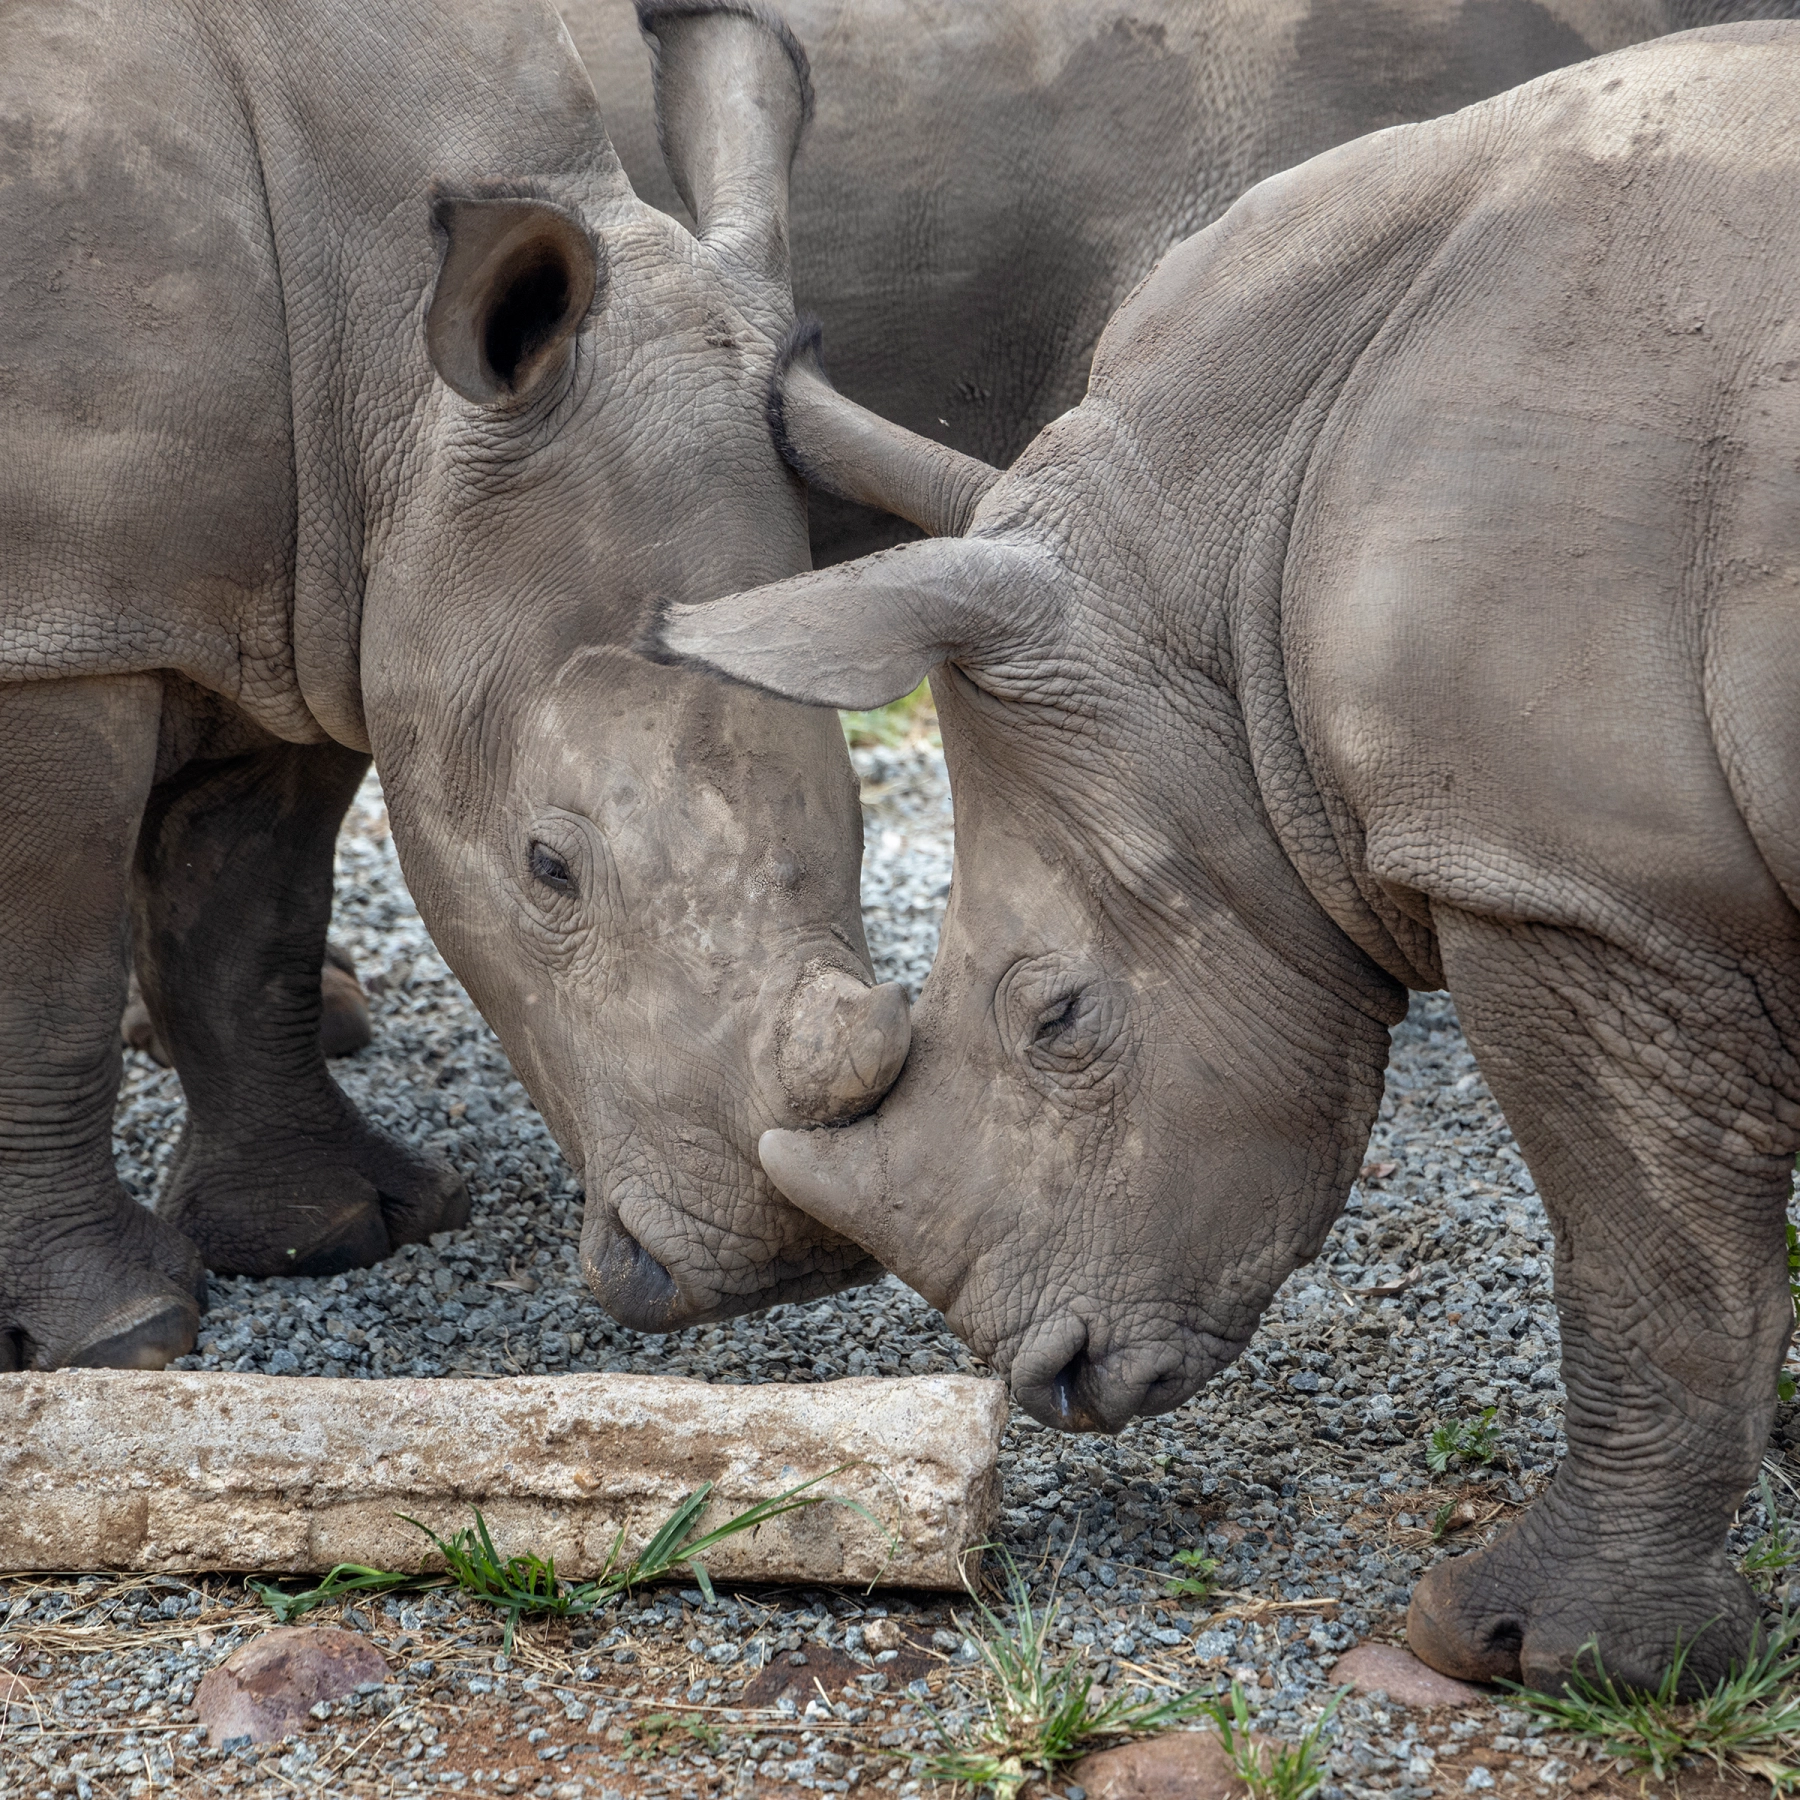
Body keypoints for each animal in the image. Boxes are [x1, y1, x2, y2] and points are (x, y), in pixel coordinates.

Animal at [0, 0, 914, 1368]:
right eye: (548, 867)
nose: (787, 1269)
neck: (377, 326)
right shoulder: (59, 625)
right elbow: (45, 973)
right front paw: (122, 1336)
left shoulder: (316, 580)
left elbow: (248, 918)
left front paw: (328, 1238)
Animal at [658, 21, 1800, 1692]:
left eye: (1057, 1019)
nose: (1050, 1376)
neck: (1225, 548)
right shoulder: (1644, 876)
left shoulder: (1586, 885)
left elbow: (1648, 1265)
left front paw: (1529, 1651)